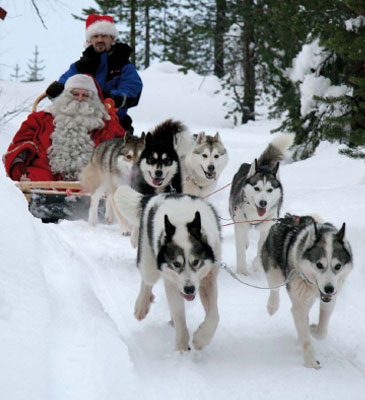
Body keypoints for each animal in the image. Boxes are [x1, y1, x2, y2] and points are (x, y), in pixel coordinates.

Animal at [115, 186, 220, 352]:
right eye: (176, 263)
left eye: (196, 261)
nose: (189, 289)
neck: (182, 221)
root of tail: (154, 196)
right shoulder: (171, 282)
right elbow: (179, 314)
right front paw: (182, 346)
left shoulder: (208, 278)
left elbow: (214, 315)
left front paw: (201, 338)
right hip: (148, 263)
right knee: (147, 280)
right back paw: (142, 304)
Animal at [228, 135, 292, 276]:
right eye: (256, 188)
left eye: (269, 190)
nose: (263, 203)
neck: (255, 216)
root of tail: (263, 166)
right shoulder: (240, 224)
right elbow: (240, 249)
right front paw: (241, 270)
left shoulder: (267, 228)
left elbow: (261, 247)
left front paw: (257, 265)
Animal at [262, 216, 352, 368]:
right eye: (319, 265)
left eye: (338, 266)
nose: (329, 289)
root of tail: (286, 218)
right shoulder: (299, 306)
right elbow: (305, 335)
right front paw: (310, 361)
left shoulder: (329, 300)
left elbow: (322, 331)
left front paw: (312, 328)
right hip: (274, 272)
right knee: (274, 288)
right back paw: (272, 306)